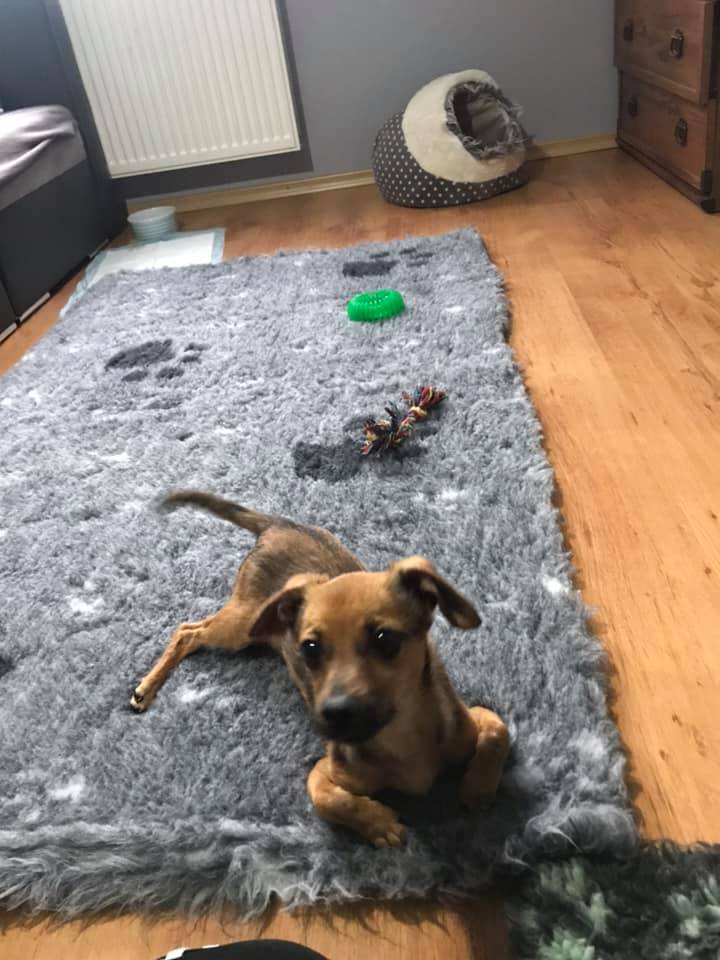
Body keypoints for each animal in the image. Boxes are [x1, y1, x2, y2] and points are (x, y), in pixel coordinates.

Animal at [131, 491, 509, 848]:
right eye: (309, 649)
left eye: (385, 640)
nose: (335, 715)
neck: (400, 737)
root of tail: (278, 525)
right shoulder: (326, 771)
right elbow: (327, 800)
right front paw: (379, 825)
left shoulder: (472, 719)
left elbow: (497, 731)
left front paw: (477, 787)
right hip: (241, 625)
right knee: (187, 632)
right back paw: (145, 688)